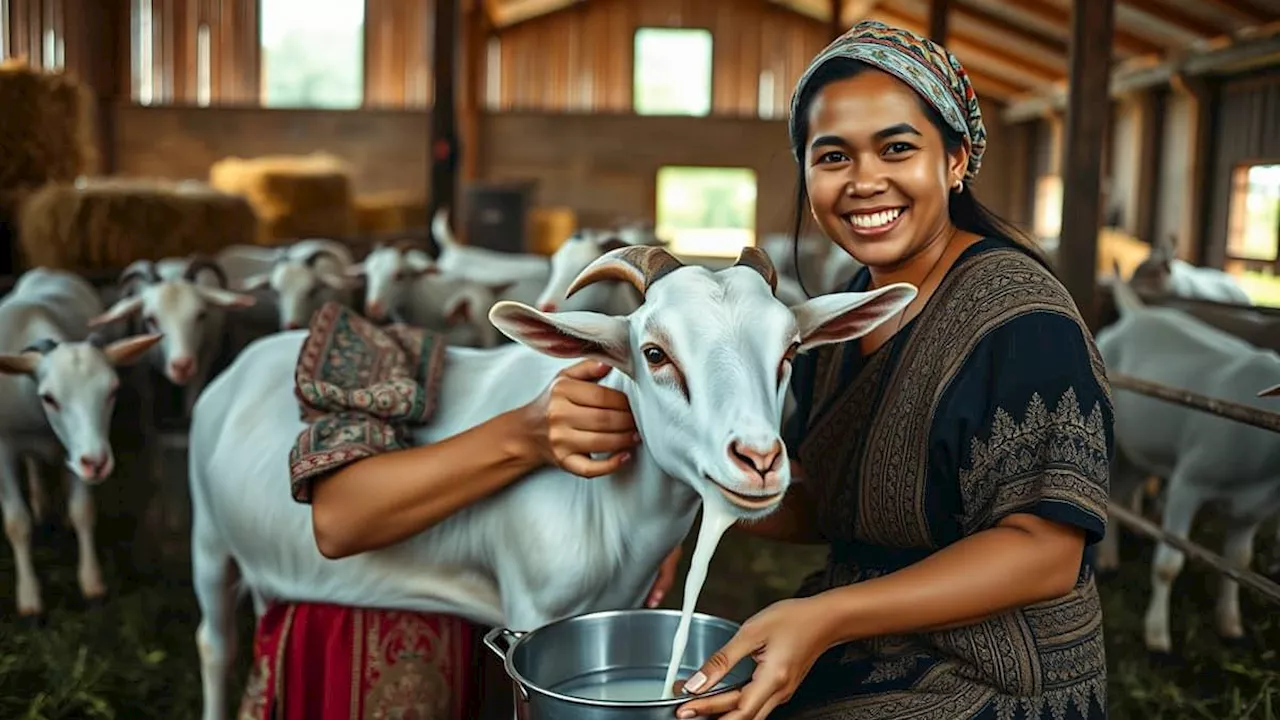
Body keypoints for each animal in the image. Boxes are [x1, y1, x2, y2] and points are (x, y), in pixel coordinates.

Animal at [0, 266, 161, 614]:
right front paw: (29, 598)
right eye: (48, 397)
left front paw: (92, 584)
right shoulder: (2, 448)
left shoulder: (79, 449)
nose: (97, 463)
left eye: (113, 390)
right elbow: (17, 522)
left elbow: (83, 510)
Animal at [1090, 278, 1280, 653]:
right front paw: (1157, 636)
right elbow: (1169, 562)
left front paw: (1230, 624)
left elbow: (1238, 562)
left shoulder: (1252, 510)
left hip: (1142, 449)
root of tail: (1137, 311)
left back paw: (1109, 558)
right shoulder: (1188, 483)